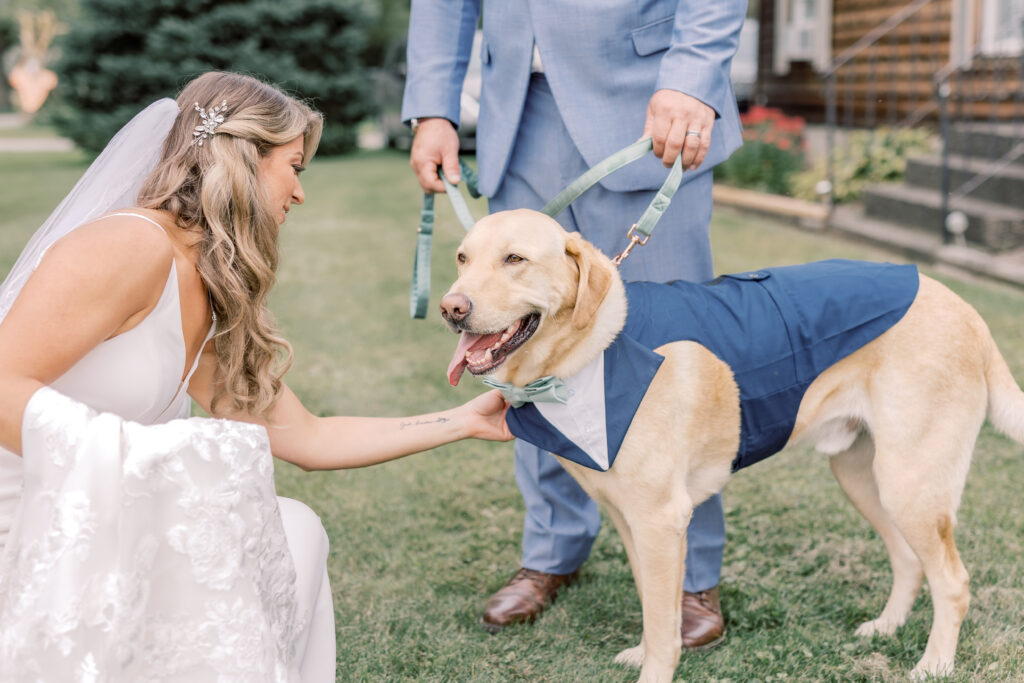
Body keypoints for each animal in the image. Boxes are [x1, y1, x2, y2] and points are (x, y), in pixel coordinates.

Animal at [438, 209, 1024, 683]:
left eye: (515, 258)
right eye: (462, 258)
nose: (450, 308)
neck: (595, 349)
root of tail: (967, 310)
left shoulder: (660, 519)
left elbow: (663, 621)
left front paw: (655, 671)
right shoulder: (634, 523)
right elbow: (656, 607)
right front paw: (646, 649)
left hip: (910, 483)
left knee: (953, 580)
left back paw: (935, 664)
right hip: (865, 477)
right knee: (908, 560)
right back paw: (886, 627)